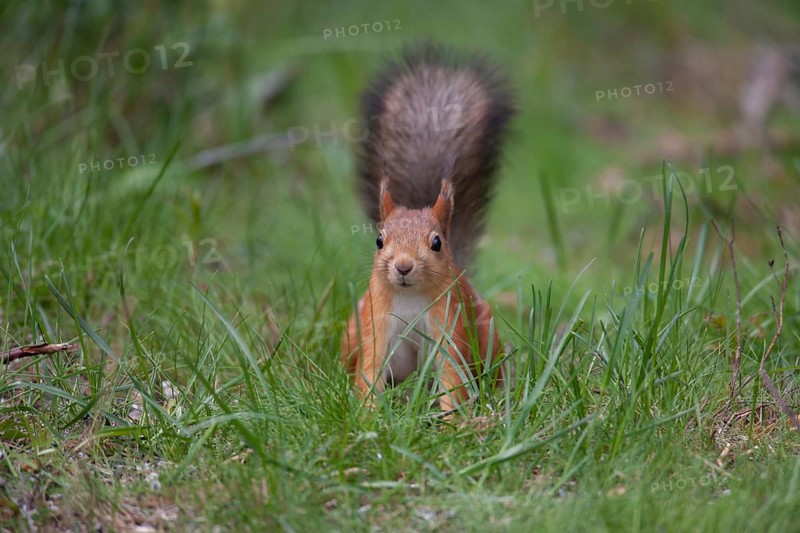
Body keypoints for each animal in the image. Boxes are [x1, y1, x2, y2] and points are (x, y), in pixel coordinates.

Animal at [341, 44, 515, 412]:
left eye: (436, 243)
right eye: (379, 240)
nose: (403, 265)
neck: (409, 298)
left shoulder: (449, 324)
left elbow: (452, 374)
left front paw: (453, 420)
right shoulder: (376, 322)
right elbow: (370, 370)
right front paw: (367, 415)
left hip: (485, 331)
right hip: (352, 330)